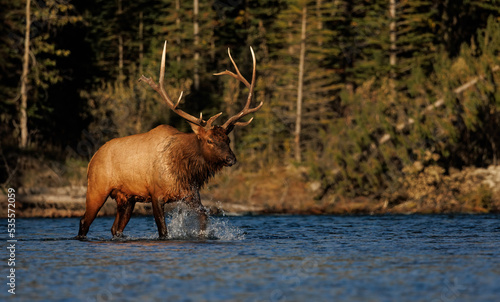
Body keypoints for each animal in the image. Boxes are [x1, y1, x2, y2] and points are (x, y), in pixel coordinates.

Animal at [77, 42, 262, 239]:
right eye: (209, 141)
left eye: (227, 139)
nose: (231, 159)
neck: (183, 169)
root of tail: (92, 159)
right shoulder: (155, 195)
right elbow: (163, 231)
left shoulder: (190, 194)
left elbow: (204, 217)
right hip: (97, 188)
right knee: (84, 222)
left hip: (126, 198)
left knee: (115, 229)